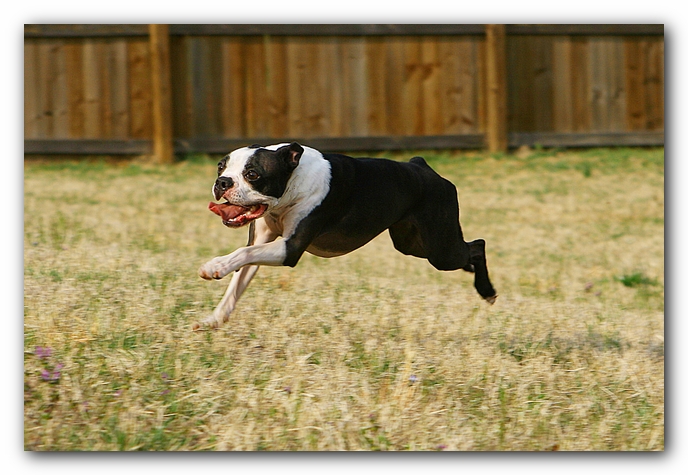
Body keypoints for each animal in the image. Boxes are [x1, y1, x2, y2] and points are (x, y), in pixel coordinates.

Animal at [194, 142, 494, 330]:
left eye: (253, 174)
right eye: (221, 167)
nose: (222, 182)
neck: (293, 180)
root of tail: (422, 166)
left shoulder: (290, 249)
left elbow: (242, 254)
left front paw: (215, 265)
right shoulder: (261, 242)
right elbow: (238, 279)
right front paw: (214, 320)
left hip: (441, 249)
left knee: (477, 246)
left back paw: (487, 291)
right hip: (412, 244)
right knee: (468, 251)